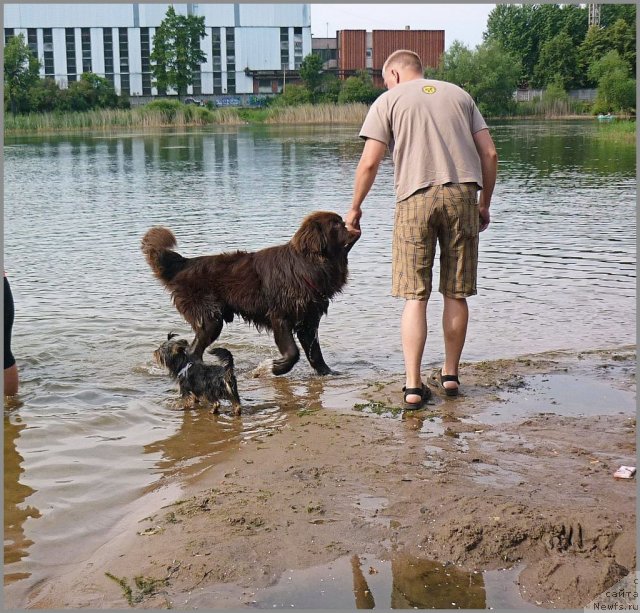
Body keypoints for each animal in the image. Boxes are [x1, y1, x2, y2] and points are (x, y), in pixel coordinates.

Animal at [141, 210, 360, 376]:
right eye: (336, 225)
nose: (351, 226)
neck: (307, 265)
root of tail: (184, 263)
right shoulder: (281, 317)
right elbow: (292, 352)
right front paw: (276, 368)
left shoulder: (308, 320)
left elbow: (315, 353)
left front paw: (327, 373)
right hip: (210, 319)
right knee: (193, 350)